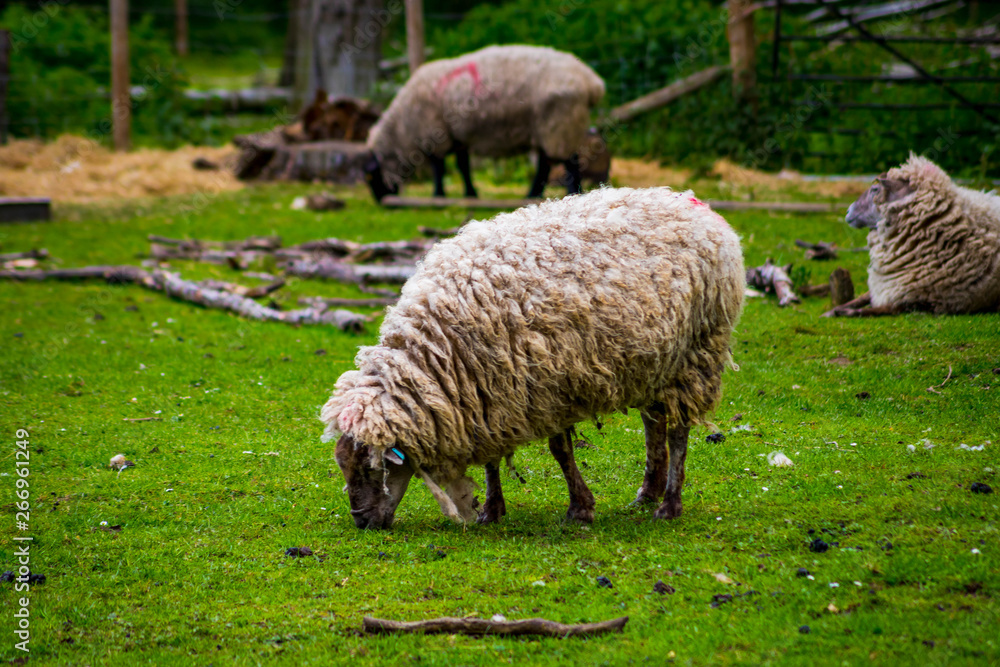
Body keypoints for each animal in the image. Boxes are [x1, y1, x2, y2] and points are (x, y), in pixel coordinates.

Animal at [321, 187, 745, 529]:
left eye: (372, 468)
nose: (361, 522)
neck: (441, 355)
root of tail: (692, 203)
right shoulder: (489, 393)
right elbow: (492, 460)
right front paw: (491, 510)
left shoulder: (548, 385)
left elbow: (561, 452)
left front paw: (579, 508)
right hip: (656, 361)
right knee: (654, 424)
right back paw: (647, 493)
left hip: (696, 354)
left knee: (678, 431)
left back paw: (669, 505)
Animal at [362, 45, 606, 202]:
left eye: (371, 176)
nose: (379, 200)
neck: (401, 129)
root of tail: (592, 82)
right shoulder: (455, 136)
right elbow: (463, 166)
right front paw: (470, 194)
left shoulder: (433, 132)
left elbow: (438, 167)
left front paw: (438, 195)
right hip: (547, 127)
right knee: (546, 163)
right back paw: (533, 194)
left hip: (560, 123)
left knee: (569, 161)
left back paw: (571, 192)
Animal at [829, 154, 1000, 316]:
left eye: (875, 189)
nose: (848, 211)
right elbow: (860, 299)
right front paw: (831, 312)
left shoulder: (920, 301)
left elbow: (877, 309)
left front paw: (844, 312)